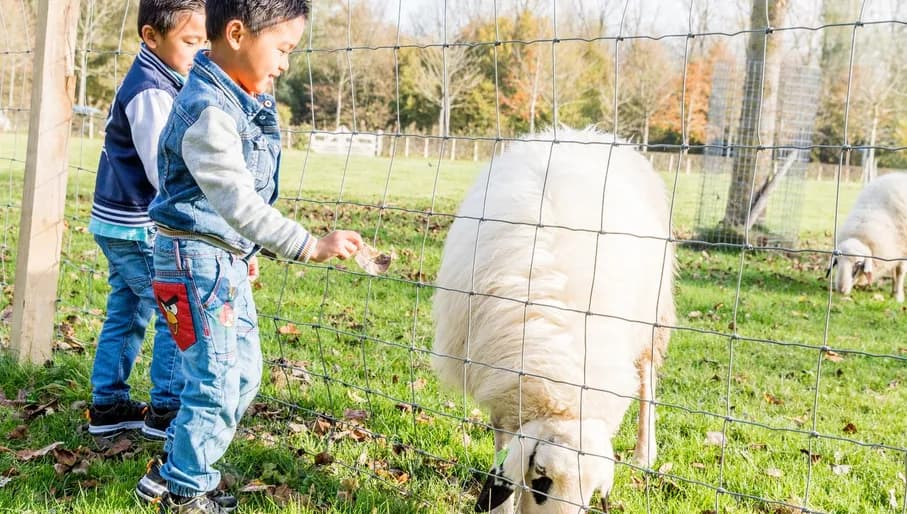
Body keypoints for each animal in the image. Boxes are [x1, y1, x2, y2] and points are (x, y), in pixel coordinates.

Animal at [431, 127, 675, 513]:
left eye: (592, 494)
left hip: (655, 318)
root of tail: (582, 133)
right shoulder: (501, 389)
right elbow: (503, 449)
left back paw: (643, 453)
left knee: (647, 381)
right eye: (541, 479)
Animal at [832, 172, 907, 303]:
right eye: (836, 262)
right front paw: (893, 292)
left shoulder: (903, 248)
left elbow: (900, 271)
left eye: (858, 264)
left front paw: (898, 296)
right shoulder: (894, 249)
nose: (841, 290)